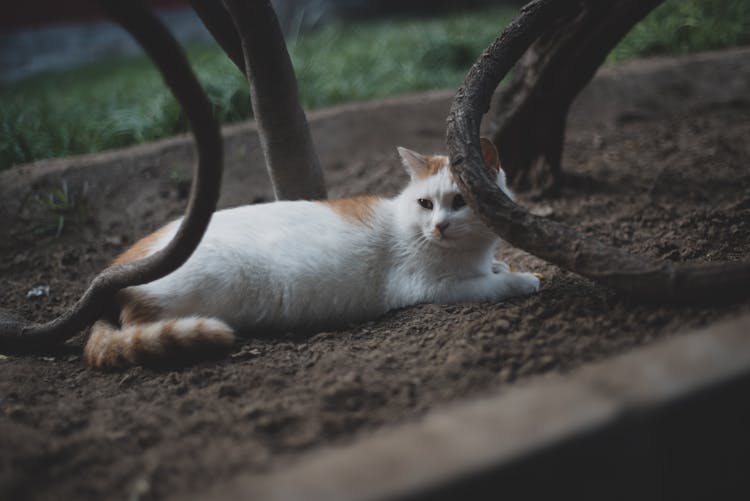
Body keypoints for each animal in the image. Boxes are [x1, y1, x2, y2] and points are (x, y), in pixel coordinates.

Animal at [85, 137, 540, 368]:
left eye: (460, 202)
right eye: (426, 204)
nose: (439, 226)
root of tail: (115, 272)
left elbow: (492, 269)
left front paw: (500, 266)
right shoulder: (432, 287)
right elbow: (489, 286)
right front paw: (521, 279)